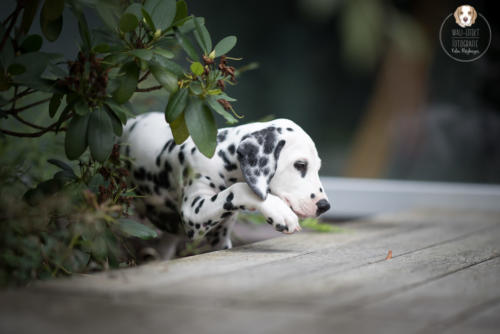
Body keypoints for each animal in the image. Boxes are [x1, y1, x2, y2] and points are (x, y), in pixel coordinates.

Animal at [120, 113, 330, 249]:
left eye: (318, 167)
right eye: (300, 164)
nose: (324, 206)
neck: (220, 156)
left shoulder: (219, 239)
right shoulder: (193, 211)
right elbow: (238, 189)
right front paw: (278, 211)